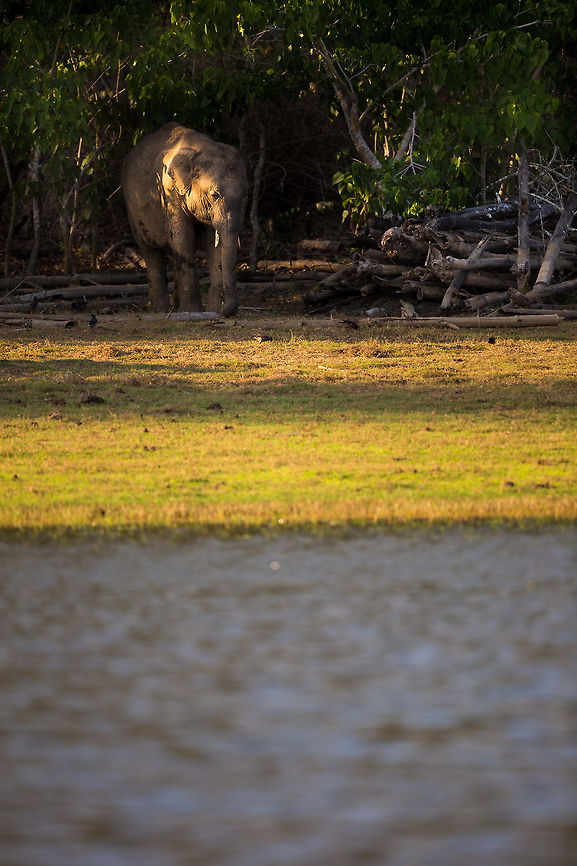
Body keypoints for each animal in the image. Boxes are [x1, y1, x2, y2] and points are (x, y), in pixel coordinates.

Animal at [121, 122, 248, 316]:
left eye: (245, 196)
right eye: (214, 194)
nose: (224, 312)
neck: (200, 148)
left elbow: (213, 247)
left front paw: (211, 310)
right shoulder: (169, 192)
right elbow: (183, 241)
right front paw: (192, 312)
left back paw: (175, 307)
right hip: (133, 210)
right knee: (151, 253)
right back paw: (160, 310)